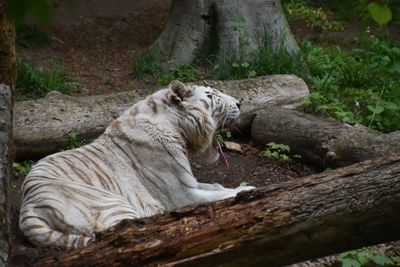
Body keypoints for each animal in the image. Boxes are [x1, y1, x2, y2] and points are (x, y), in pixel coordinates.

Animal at [19, 81, 253, 249]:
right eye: (211, 96)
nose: (239, 103)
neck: (176, 126)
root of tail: (27, 207)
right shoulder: (182, 194)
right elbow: (221, 195)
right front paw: (248, 189)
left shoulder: (189, 183)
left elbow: (215, 187)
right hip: (113, 205)